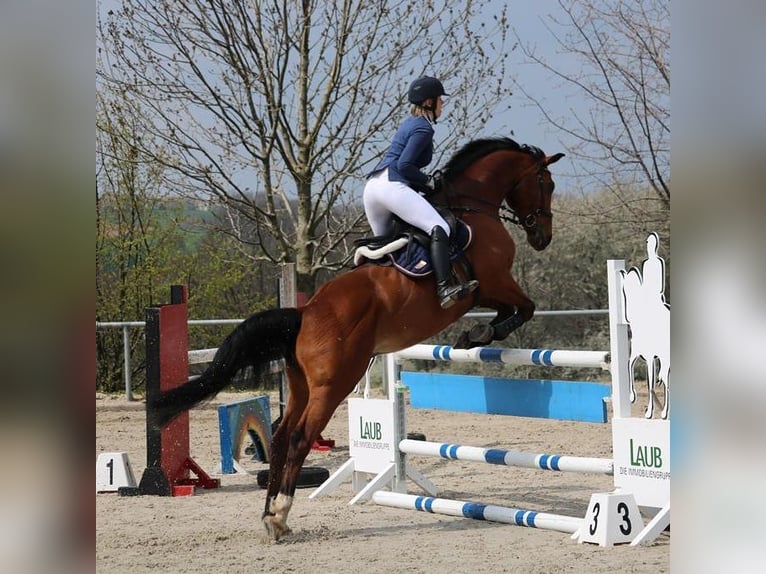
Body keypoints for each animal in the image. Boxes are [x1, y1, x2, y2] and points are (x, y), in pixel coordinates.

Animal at [151, 137, 565, 540]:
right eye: (546, 184)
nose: (543, 237)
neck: (473, 207)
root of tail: (304, 314)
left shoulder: (491, 291)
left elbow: (516, 311)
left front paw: (475, 334)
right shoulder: (494, 282)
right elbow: (524, 308)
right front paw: (479, 333)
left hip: (302, 384)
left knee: (281, 438)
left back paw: (269, 514)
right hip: (334, 384)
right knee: (300, 437)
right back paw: (281, 515)